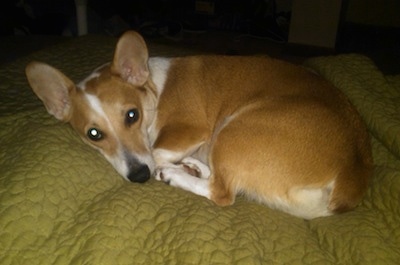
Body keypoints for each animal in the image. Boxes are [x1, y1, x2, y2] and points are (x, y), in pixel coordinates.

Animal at [26, 30, 374, 219]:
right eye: (94, 134)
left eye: (131, 115)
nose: (140, 176)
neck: (152, 90)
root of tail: (352, 174)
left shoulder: (187, 131)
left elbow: (157, 152)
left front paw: (164, 166)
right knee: (220, 178)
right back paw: (193, 167)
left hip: (232, 129)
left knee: (222, 192)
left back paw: (178, 175)